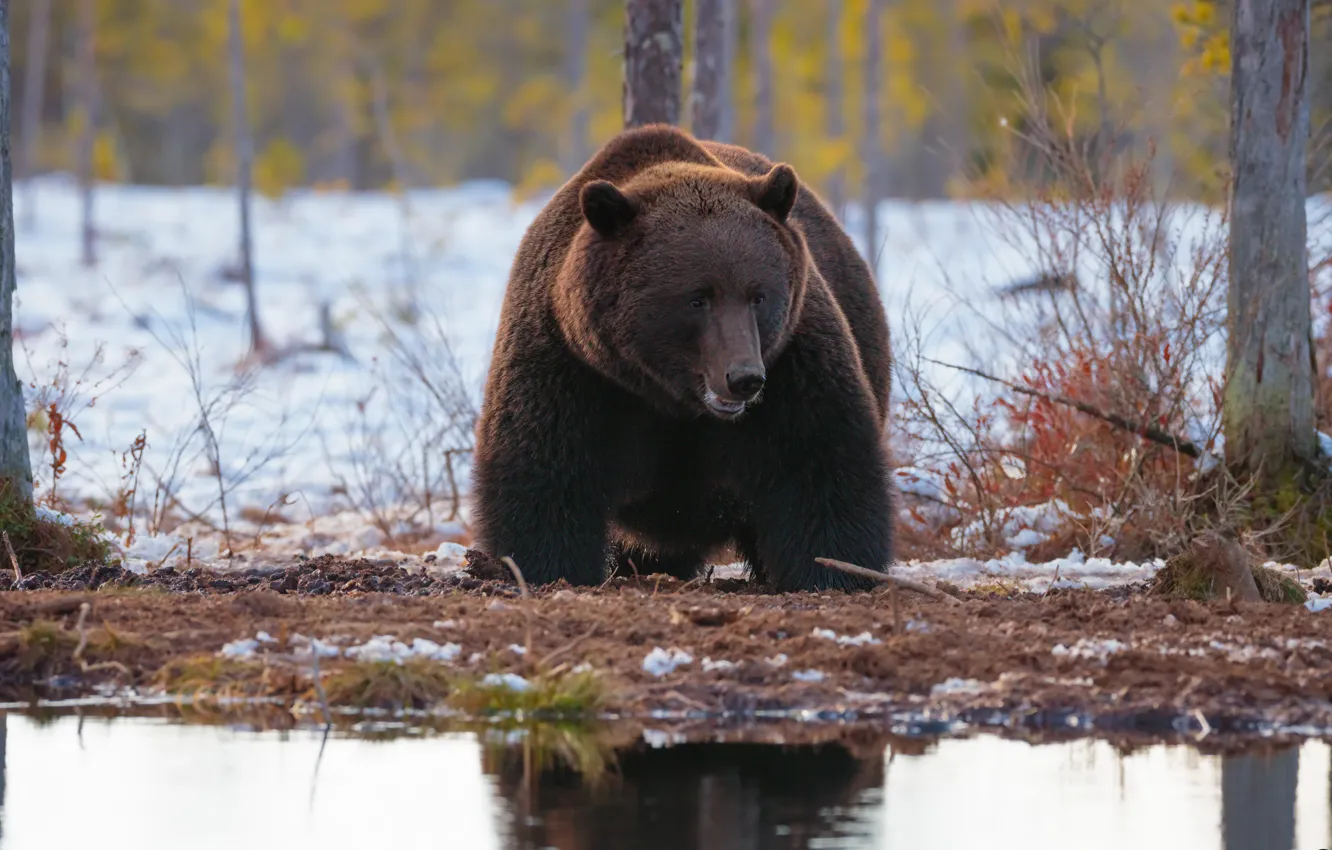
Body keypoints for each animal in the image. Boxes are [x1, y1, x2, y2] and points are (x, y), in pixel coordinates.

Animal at [469, 124, 894, 592]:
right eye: (697, 298)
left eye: (758, 295)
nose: (743, 378)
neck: (671, 399)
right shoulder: (571, 366)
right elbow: (545, 472)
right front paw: (549, 569)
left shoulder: (792, 362)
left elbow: (818, 460)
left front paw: (832, 569)